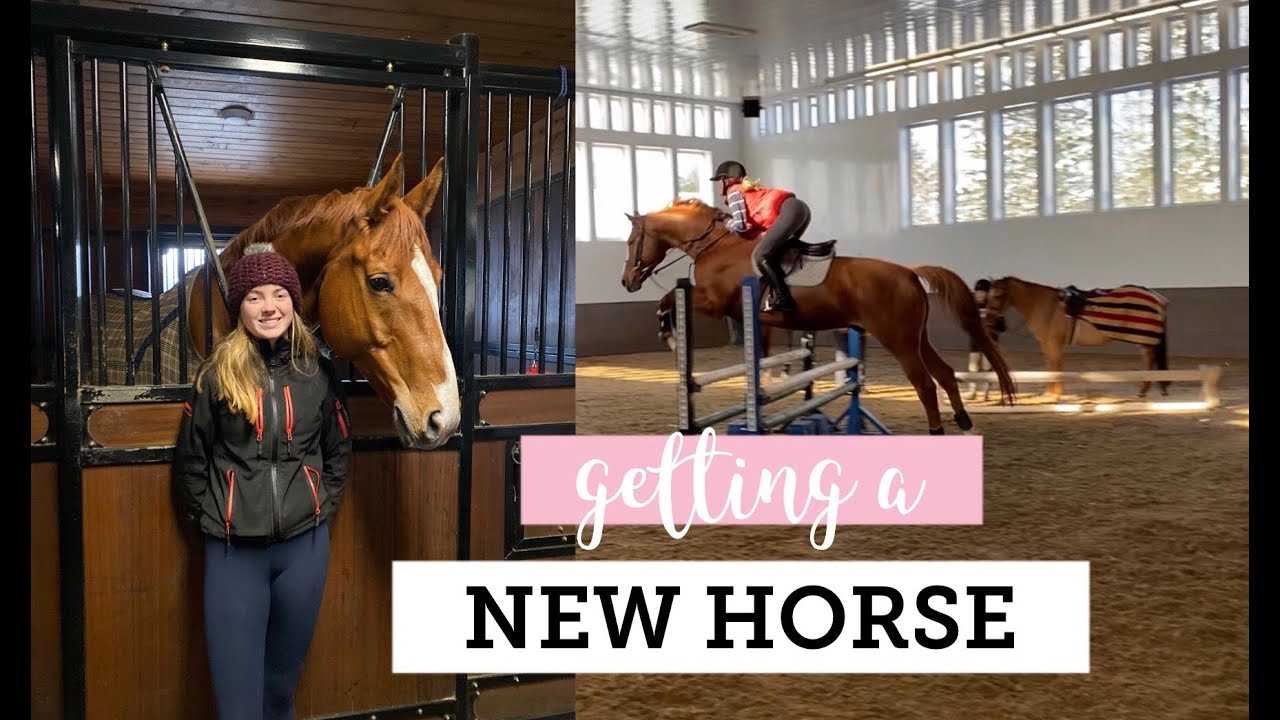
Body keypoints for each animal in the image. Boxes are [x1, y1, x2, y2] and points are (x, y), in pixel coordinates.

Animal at [619, 198, 1016, 434]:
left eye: (630, 241)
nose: (627, 281)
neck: (716, 246)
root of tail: (907, 272)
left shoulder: (714, 303)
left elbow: (668, 299)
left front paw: (670, 337)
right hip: (916, 337)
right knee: (945, 374)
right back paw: (964, 422)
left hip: (898, 339)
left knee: (924, 383)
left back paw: (938, 430)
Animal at [983, 276, 1171, 401]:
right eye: (988, 295)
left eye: (998, 295)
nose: (990, 319)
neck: (1046, 306)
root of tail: (1156, 297)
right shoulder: (1046, 344)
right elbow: (1051, 366)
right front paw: (1049, 393)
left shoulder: (1053, 342)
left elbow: (1056, 365)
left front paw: (1056, 395)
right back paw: (1146, 389)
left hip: (1145, 339)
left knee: (1149, 360)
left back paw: (1144, 389)